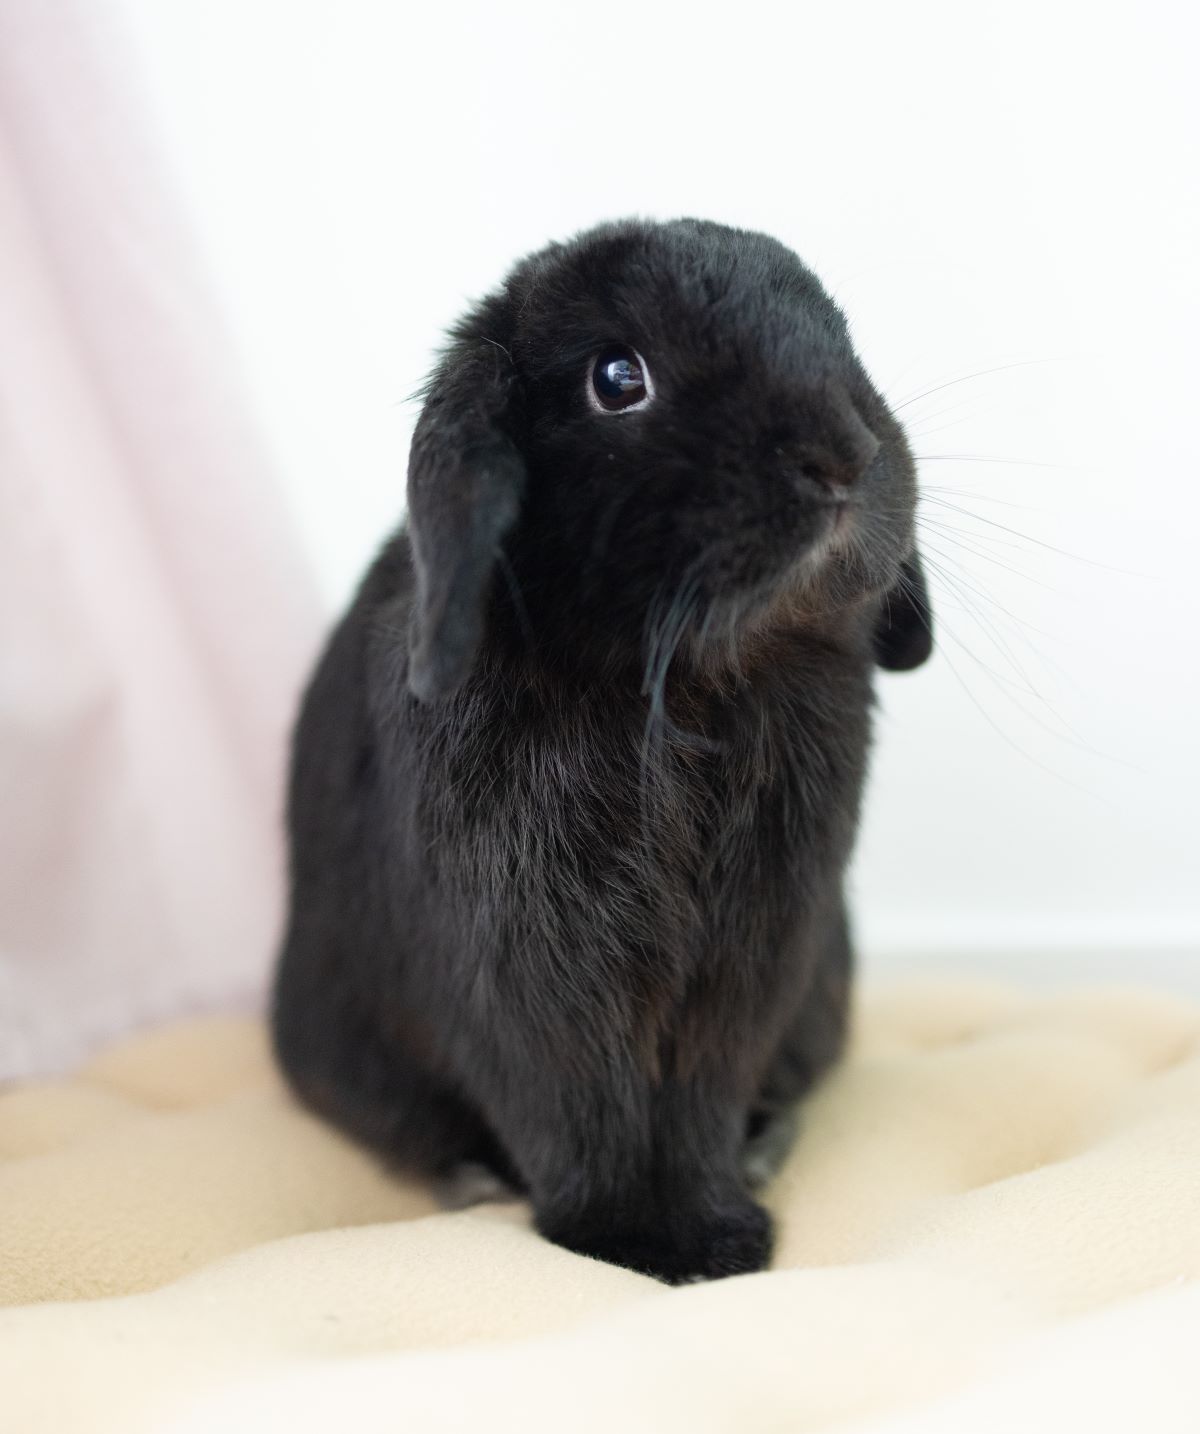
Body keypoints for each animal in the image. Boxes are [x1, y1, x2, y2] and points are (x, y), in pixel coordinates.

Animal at [271, 217, 933, 1285]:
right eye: (618, 378)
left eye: (839, 333)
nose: (844, 457)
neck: (678, 687)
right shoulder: (520, 952)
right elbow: (576, 1096)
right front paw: (638, 1243)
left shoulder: (758, 950)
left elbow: (697, 1091)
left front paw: (713, 1233)